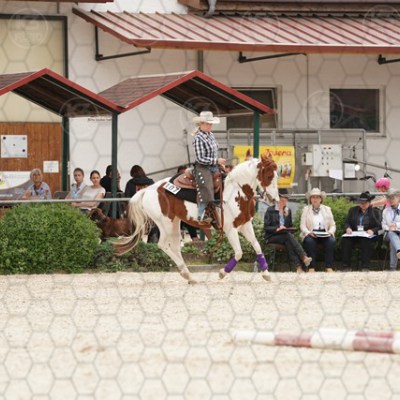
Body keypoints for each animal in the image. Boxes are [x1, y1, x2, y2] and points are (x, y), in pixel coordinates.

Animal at [114, 154, 279, 283]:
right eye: (269, 176)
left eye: (277, 176)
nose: (274, 199)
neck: (236, 190)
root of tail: (147, 190)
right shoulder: (230, 229)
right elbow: (239, 252)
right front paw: (222, 272)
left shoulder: (245, 224)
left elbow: (257, 245)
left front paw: (266, 274)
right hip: (165, 223)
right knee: (163, 245)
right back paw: (186, 273)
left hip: (175, 222)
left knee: (175, 247)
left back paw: (188, 275)